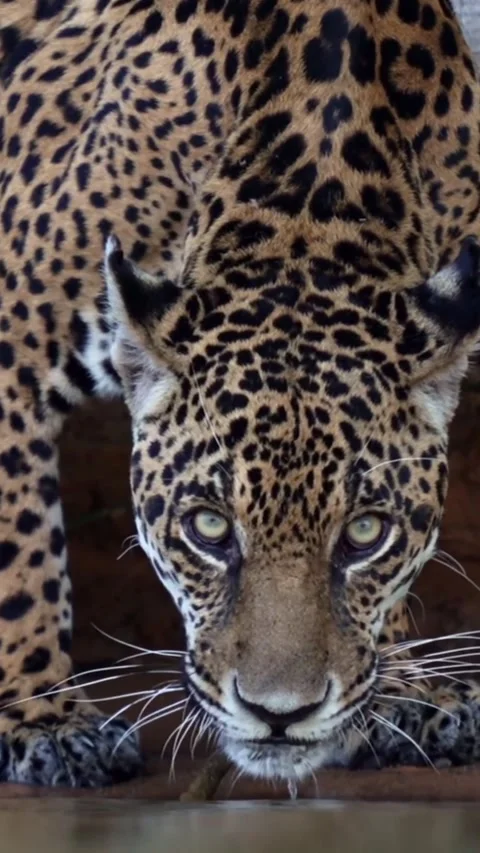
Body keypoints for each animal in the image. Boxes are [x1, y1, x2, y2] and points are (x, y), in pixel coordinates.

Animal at [1, 0, 480, 789]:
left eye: (365, 533)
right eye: (209, 528)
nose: (278, 714)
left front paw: (404, 690)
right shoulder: (14, 342)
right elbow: (24, 555)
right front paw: (41, 718)